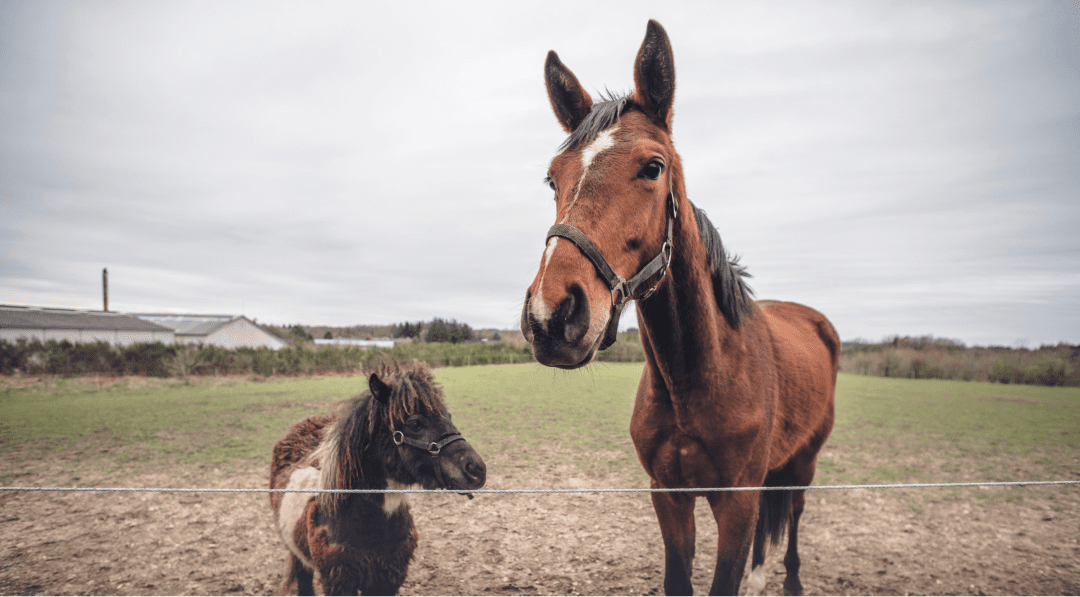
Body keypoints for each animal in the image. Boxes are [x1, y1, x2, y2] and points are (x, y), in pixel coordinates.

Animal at [270, 358, 486, 595]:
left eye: (448, 416)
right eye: (415, 424)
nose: (476, 469)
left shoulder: (386, 580)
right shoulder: (339, 582)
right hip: (299, 557)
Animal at [518, 20, 838, 591]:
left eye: (652, 167)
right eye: (553, 178)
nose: (551, 317)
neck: (702, 374)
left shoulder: (736, 504)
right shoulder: (669, 495)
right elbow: (679, 579)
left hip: (805, 461)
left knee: (796, 512)